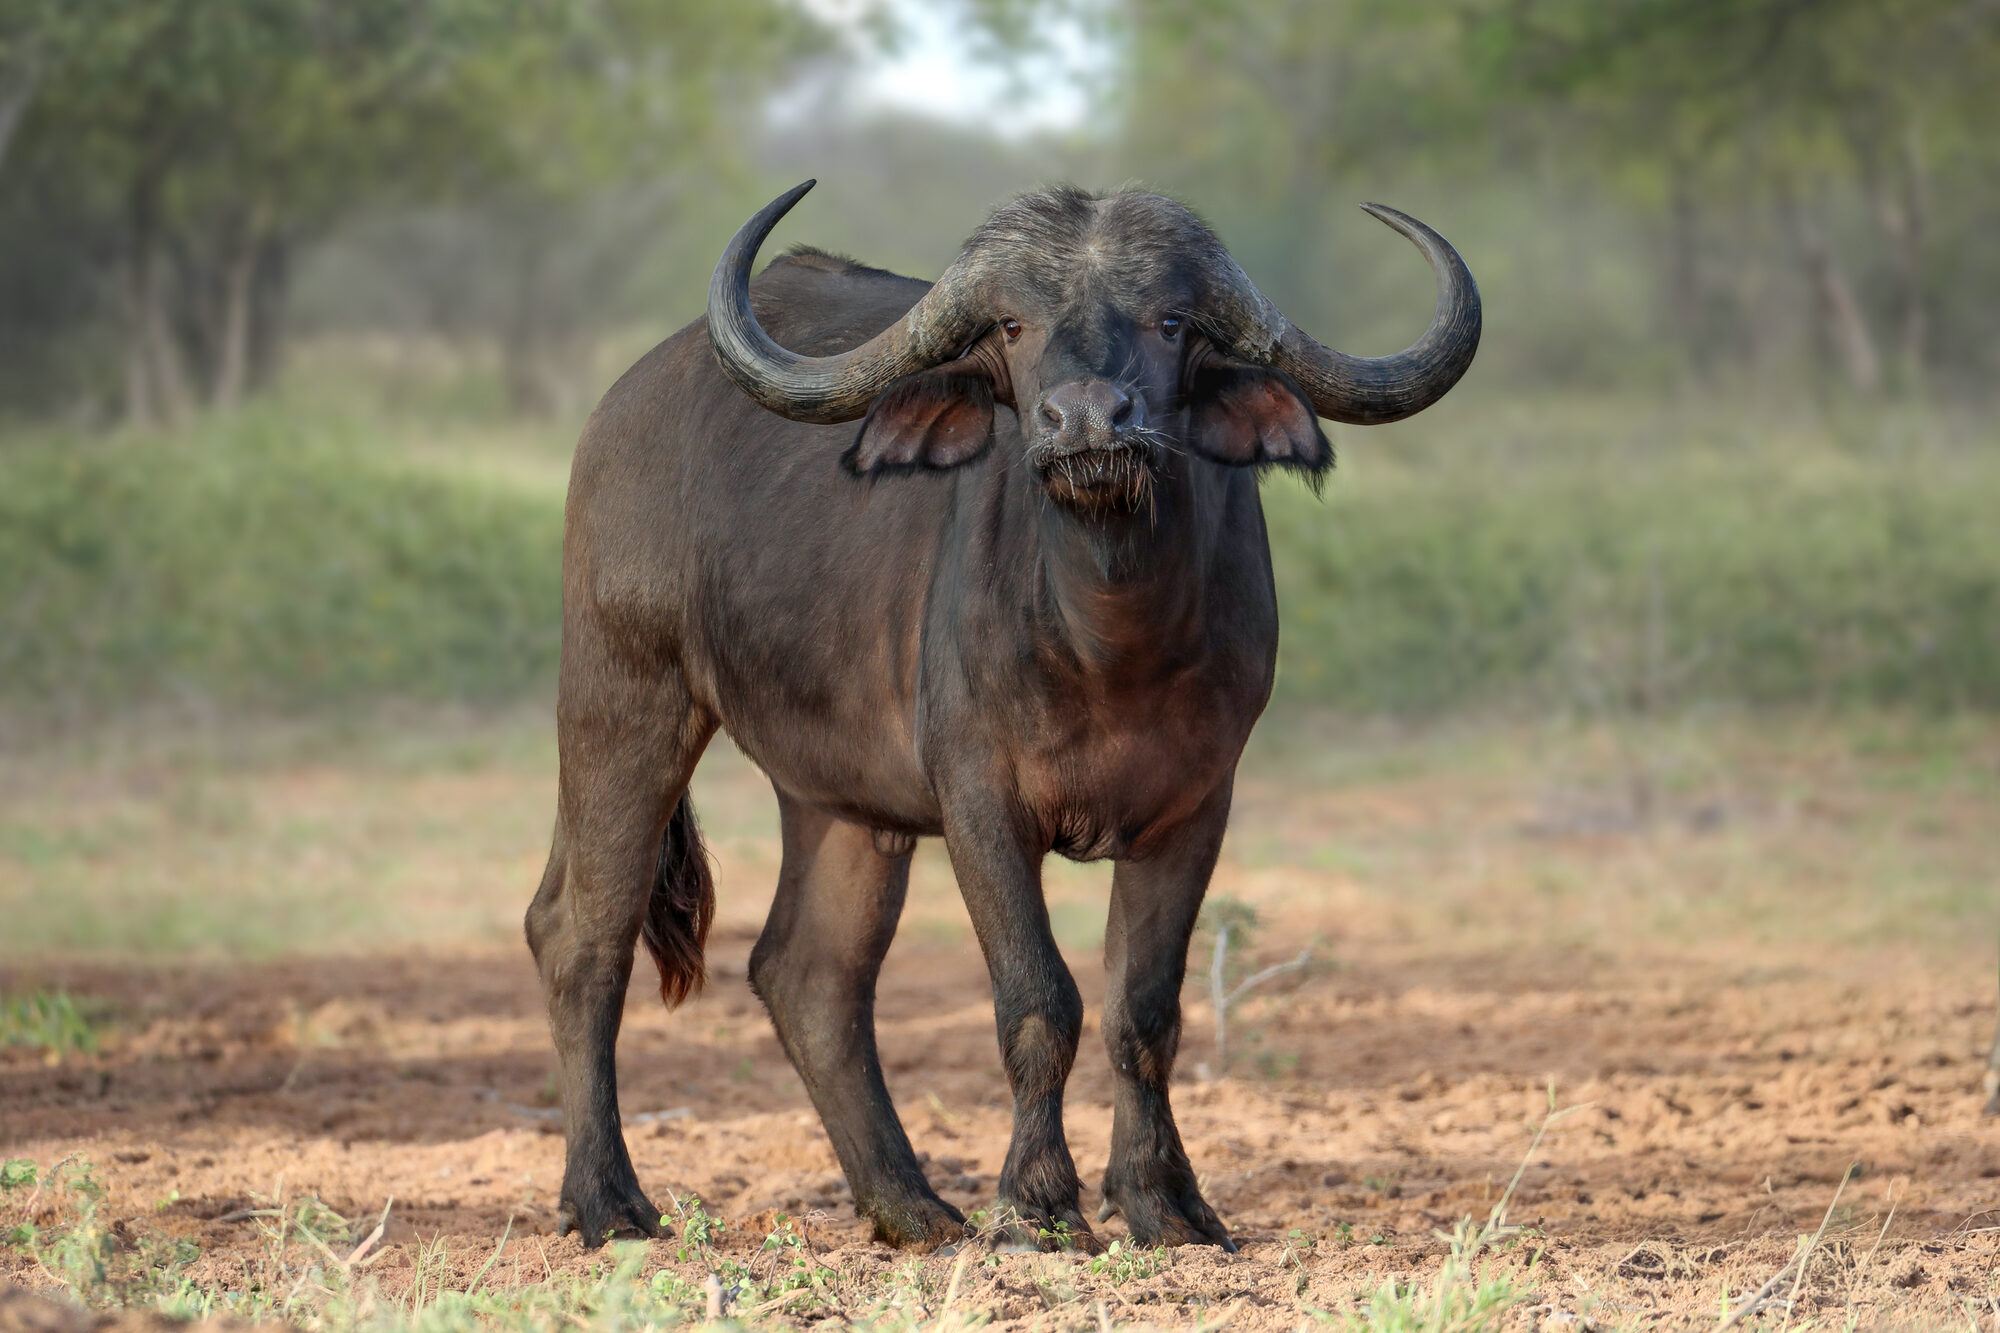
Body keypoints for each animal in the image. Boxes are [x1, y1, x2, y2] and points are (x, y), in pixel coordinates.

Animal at [524, 180, 1480, 1253]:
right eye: (1016, 326)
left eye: (1172, 320)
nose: (1087, 419)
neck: (1110, 645)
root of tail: (623, 407)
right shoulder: (981, 805)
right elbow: (1039, 1000)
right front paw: (1038, 1202)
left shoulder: (1198, 808)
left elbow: (1144, 1010)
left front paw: (1164, 1202)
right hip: (623, 692)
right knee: (580, 934)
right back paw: (608, 1200)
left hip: (843, 799)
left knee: (810, 972)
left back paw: (910, 1205)